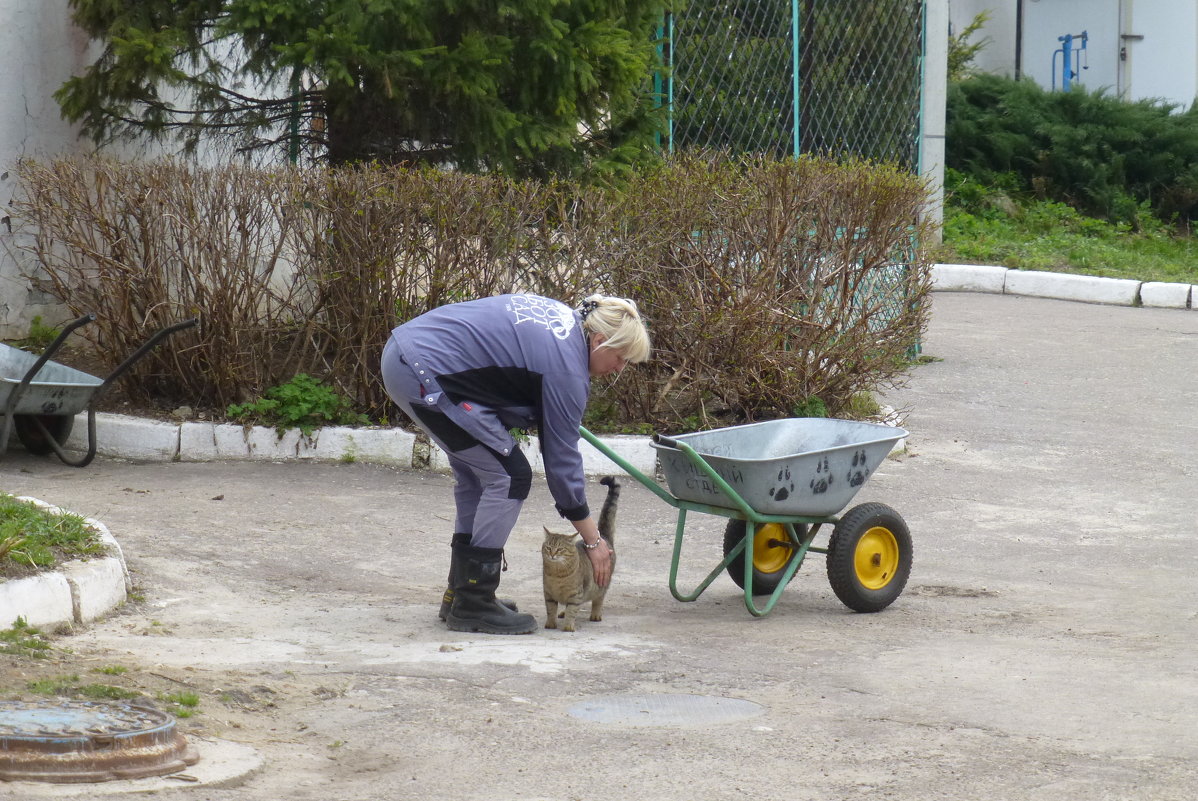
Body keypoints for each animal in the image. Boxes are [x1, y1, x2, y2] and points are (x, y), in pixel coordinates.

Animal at [541, 474, 618, 632]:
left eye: (560, 549)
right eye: (548, 547)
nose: (552, 554)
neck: (557, 575)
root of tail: (604, 536)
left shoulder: (576, 594)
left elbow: (572, 610)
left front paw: (568, 626)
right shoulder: (549, 594)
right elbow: (551, 610)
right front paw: (551, 624)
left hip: (601, 585)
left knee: (598, 600)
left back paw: (595, 614)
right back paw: (562, 613)